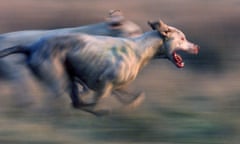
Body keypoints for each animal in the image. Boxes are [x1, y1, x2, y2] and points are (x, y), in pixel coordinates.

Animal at [0, 20, 199, 115]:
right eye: (182, 38)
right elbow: (93, 100)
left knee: (73, 100)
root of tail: (31, 47)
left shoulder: (114, 85)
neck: (140, 49)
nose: (196, 47)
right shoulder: (104, 83)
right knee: (64, 102)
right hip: (58, 79)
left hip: (66, 78)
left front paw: (132, 102)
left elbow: (131, 96)